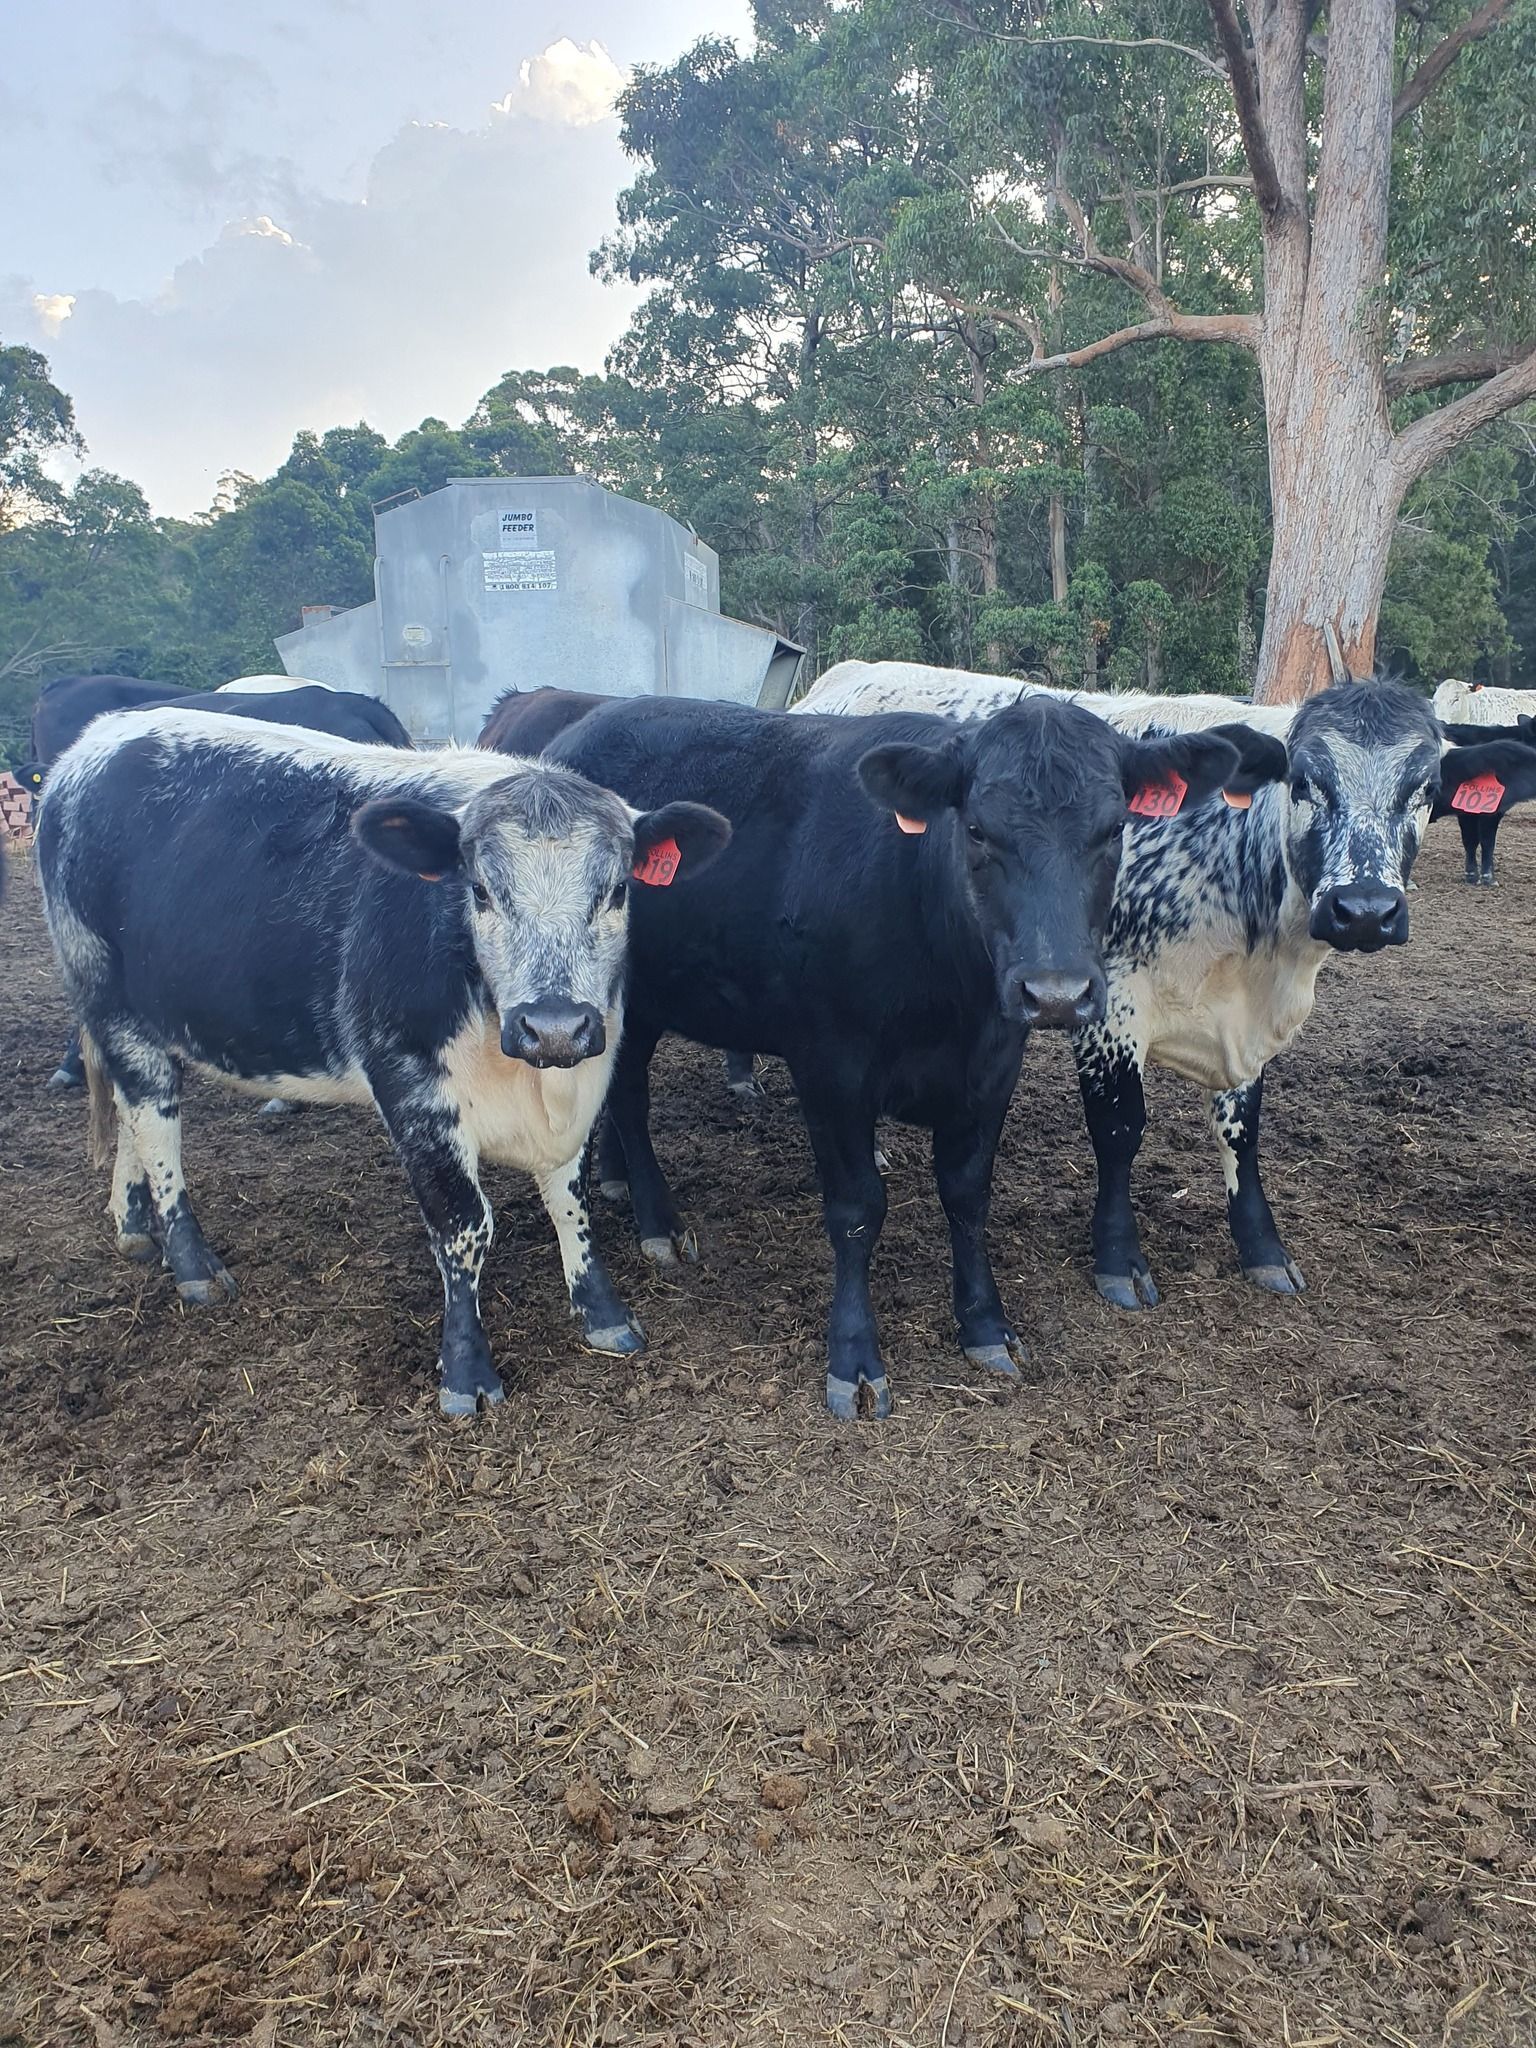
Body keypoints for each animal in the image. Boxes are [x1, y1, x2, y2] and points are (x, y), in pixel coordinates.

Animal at [545, 693, 1274, 1418]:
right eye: (976, 829)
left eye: (1115, 827)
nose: (1057, 992)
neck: (947, 993)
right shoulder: (830, 1069)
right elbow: (856, 1209)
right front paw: (854, 1357)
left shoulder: (992, 1068)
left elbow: (968, 1194)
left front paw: (985, 1325)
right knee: (631, 1101)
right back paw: (659, 1223)